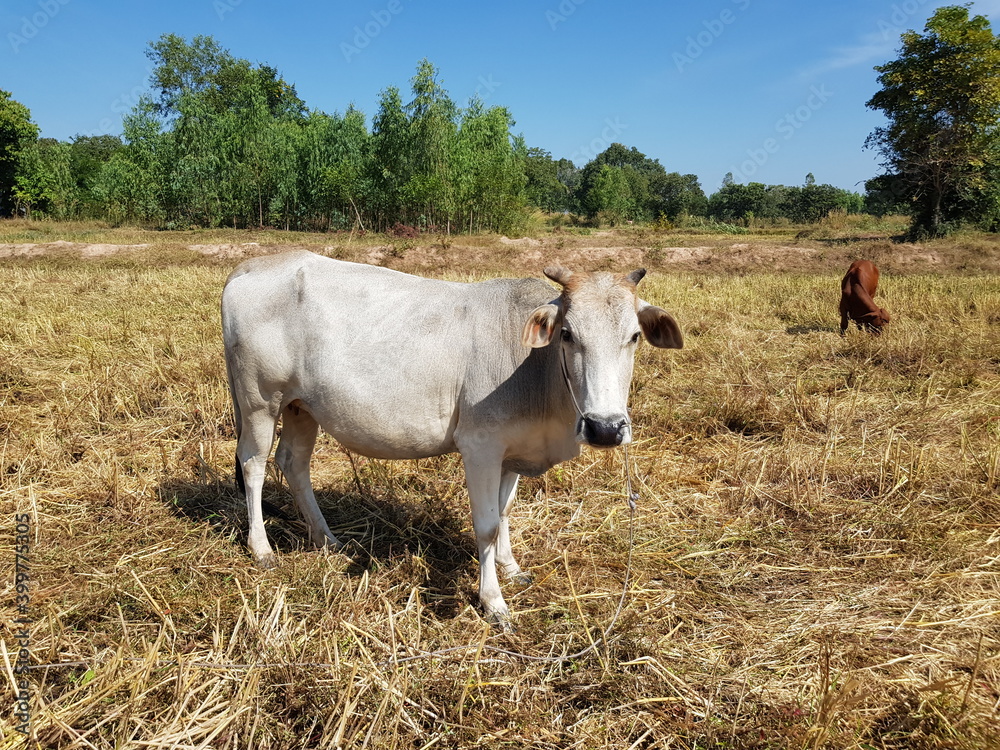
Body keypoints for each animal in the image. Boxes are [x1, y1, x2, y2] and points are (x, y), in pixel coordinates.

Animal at [223, 251, 684, 624]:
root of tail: (250, 266)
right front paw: (493, 601)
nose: (605, 427)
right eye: (568, 334)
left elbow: (504, 513)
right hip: (260, 401)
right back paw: (262, 549)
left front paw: (512, 569)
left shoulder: (512, 452)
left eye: (634, 336)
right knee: (254, 466)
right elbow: (486, 525)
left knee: (293, 462)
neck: (538, 370)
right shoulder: (480, 446)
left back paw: (326, 539)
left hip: (301, 407)